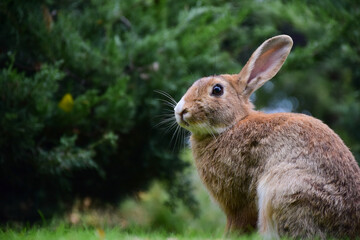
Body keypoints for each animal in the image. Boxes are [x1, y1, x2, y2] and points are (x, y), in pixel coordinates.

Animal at [173, 34, 360, 239]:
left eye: (217, 90)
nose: (180, 110)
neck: (231, 125)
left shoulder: (238, 201)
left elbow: (237, 222)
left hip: (285, 190)